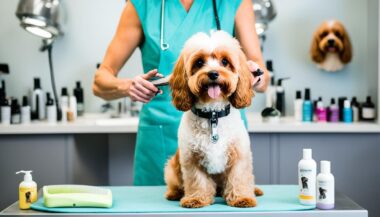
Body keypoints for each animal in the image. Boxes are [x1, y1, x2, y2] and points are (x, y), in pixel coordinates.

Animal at [165, 30, 262, 209]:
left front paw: (241, 197)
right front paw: (196, 198)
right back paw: (174, 193)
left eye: (224, 61)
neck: (213, 115)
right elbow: (198, 181)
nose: (213, 73)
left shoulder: (239, 156)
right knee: (174, 182)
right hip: (172, 167)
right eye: (199, 62)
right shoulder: (191, 159)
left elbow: (238, 178)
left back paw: (255, 190)